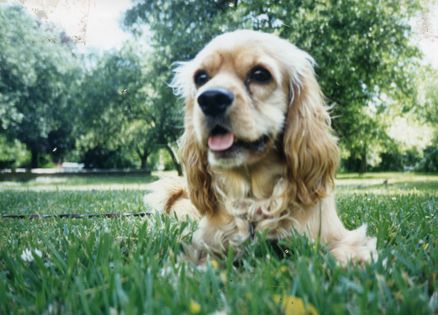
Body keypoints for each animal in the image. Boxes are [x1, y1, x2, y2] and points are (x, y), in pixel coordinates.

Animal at [144, 30, 376, 266]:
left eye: (260, 74)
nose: (210, 99)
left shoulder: (344, 240)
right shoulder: (203, 245)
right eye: (200, 77)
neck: (253, 201)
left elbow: (338, 255)